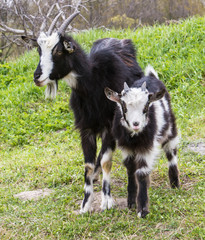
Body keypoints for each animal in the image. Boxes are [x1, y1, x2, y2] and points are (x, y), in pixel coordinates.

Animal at [22, 12, 143, 213]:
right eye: (39, 50)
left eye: (58, 51)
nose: (37, 77)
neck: (93, 83)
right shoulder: (85, 127)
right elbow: (88, 164)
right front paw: (86, 203)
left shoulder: (110, 125)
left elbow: (106, 160)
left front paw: (106, 201)